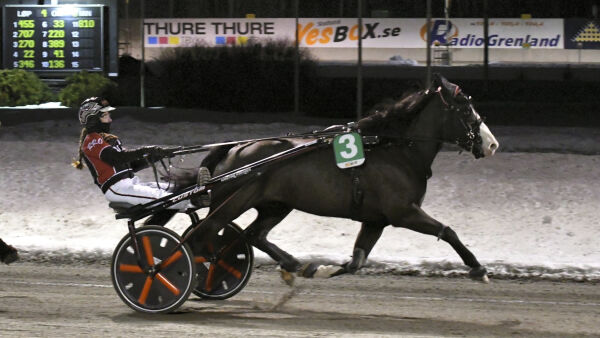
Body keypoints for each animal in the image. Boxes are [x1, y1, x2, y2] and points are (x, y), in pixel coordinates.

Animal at [196, 74, 496, 282]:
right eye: (466, 109)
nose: (492, 145)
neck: (396, 150)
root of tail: (236, 148)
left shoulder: (375, 220)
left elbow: (356, 262)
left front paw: (322, 269)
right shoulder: (403, 213)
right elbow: (447, 231)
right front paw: (478, 268)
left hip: (276, 205)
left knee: (254, 235)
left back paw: (293, 263)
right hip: (235, 201)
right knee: (205, 231)